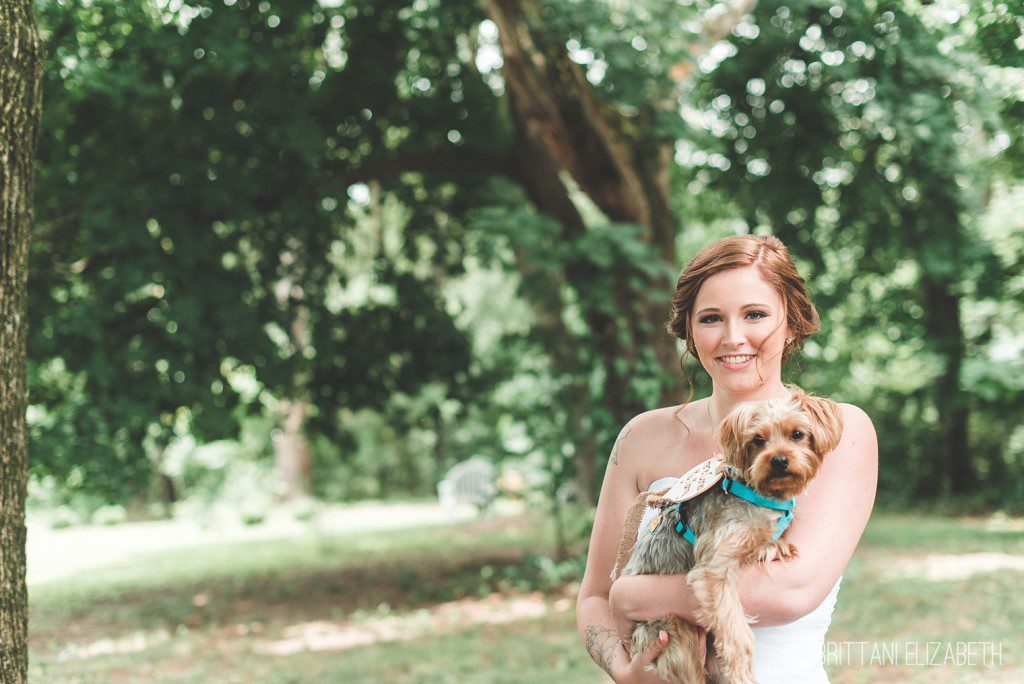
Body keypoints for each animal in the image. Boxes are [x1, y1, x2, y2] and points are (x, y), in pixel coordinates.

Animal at [614, 387, 839, 679]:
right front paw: (742, 672)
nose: (779, 461)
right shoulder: (714, 571)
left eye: (797, 434)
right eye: (758, 439)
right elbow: (736, 633)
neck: (755, 492)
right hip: (673, 635)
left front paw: (773, 547)